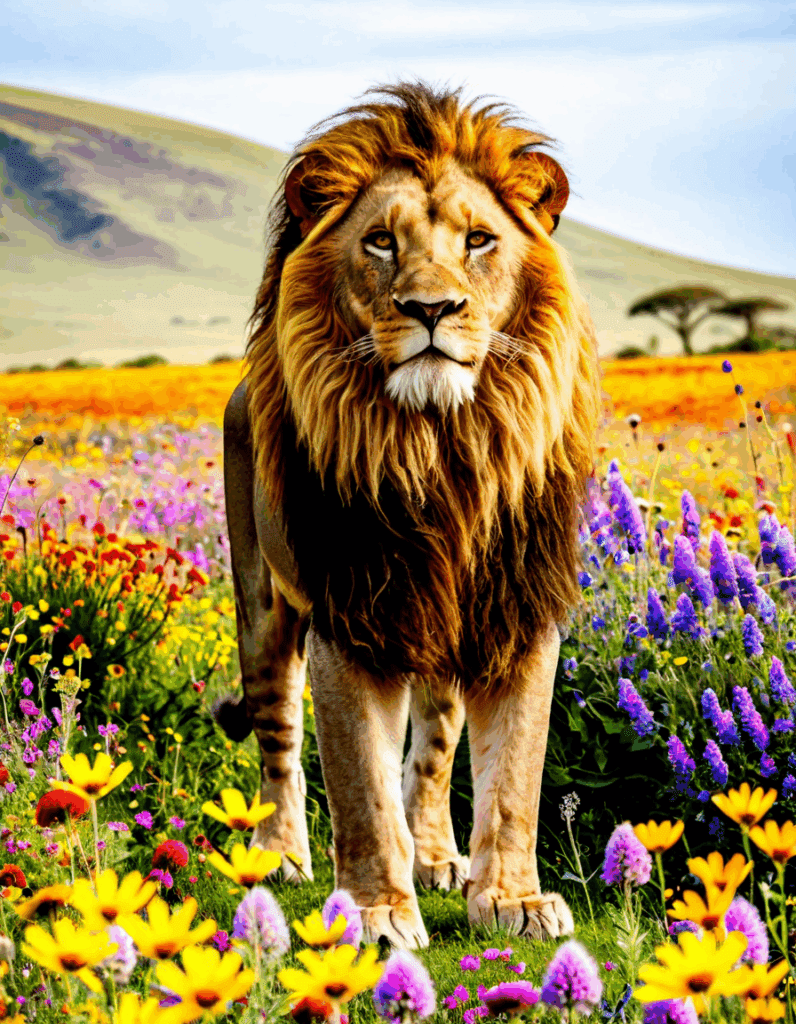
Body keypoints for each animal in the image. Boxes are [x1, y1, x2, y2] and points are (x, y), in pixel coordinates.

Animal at [221, 82, 601, 949]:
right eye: (381, 243)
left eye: (479, 240)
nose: (433, 308)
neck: (439, 447)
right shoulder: (350, 615)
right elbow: (359, 779)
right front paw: (375, 916)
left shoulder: (517, 609)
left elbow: (514, 779)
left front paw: (515, 900)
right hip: (265, 609)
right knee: (280, 740)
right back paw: (282, 856)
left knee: (432, 746)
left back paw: (433, 856)